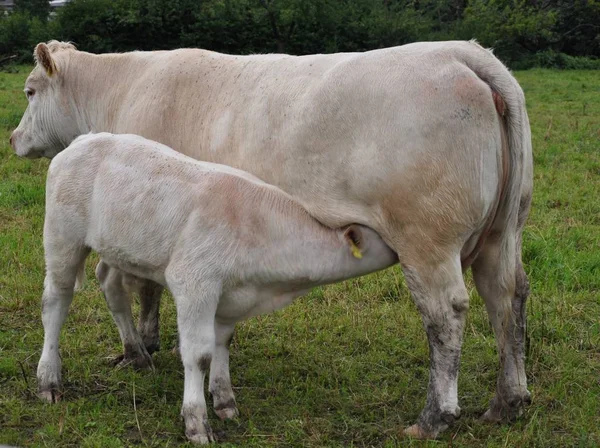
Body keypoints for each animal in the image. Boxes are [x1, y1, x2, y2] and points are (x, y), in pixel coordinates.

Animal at [10, 40, 536, 440]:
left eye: (30, 91)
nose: (14, 138)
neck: (123, 89)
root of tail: (461, 52)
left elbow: (129, 283)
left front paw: (141, 347)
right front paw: (152, 346)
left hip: (426, 241)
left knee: (445, 316)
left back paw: (433, 418)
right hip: (502, 233)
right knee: (506, 298)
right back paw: (508, 400)